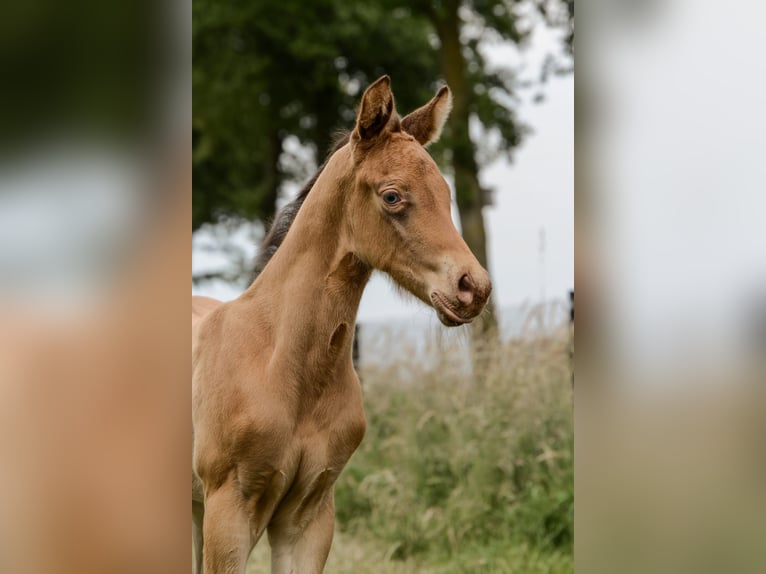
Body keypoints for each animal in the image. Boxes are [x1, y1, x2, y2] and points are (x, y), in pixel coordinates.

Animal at [192, 77, 492, 574]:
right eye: (392, 195)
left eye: (447, 194)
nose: (473, 288)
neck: (282, 364)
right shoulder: (228, 510)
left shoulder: (310, 515)